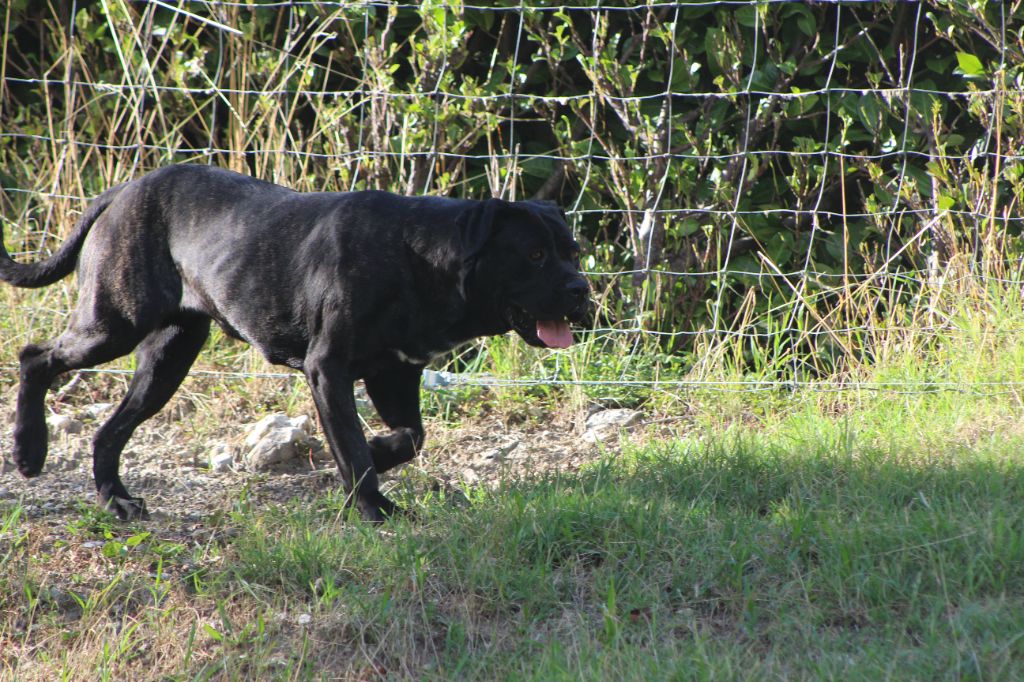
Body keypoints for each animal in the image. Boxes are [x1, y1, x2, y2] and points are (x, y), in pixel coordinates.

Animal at [0, 164, 589, 520]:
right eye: (535, 255)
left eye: (574, 252)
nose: (581, 289)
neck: (426, 260)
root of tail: (125, 188)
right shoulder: (329, 369)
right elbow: (352, 444)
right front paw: (373, 508)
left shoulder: (396, 373)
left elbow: (410, 436)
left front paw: (378, 457)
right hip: (112, 324)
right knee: (37, 358)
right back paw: (29, 452)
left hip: (167, 358)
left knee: (110, 430)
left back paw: (116, 500)